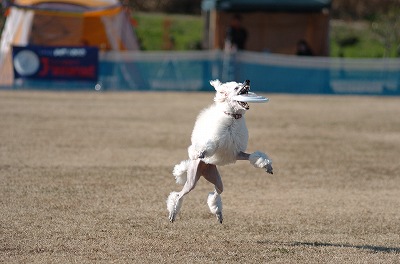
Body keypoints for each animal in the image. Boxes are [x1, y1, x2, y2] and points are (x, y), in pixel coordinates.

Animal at [166, 80, 272, 223]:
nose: (247, 81)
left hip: (215, 178)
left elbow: (254, 156)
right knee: (179, 195)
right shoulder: (216, 143)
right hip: (192, 180)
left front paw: (267, 165)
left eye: (242, 84)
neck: (233, 118)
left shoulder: (236, 153)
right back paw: (173, 213)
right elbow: (208, 146)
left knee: (215, 193)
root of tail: (203, 168)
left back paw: (218, 214)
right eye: (236, 87)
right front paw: (200, 153)